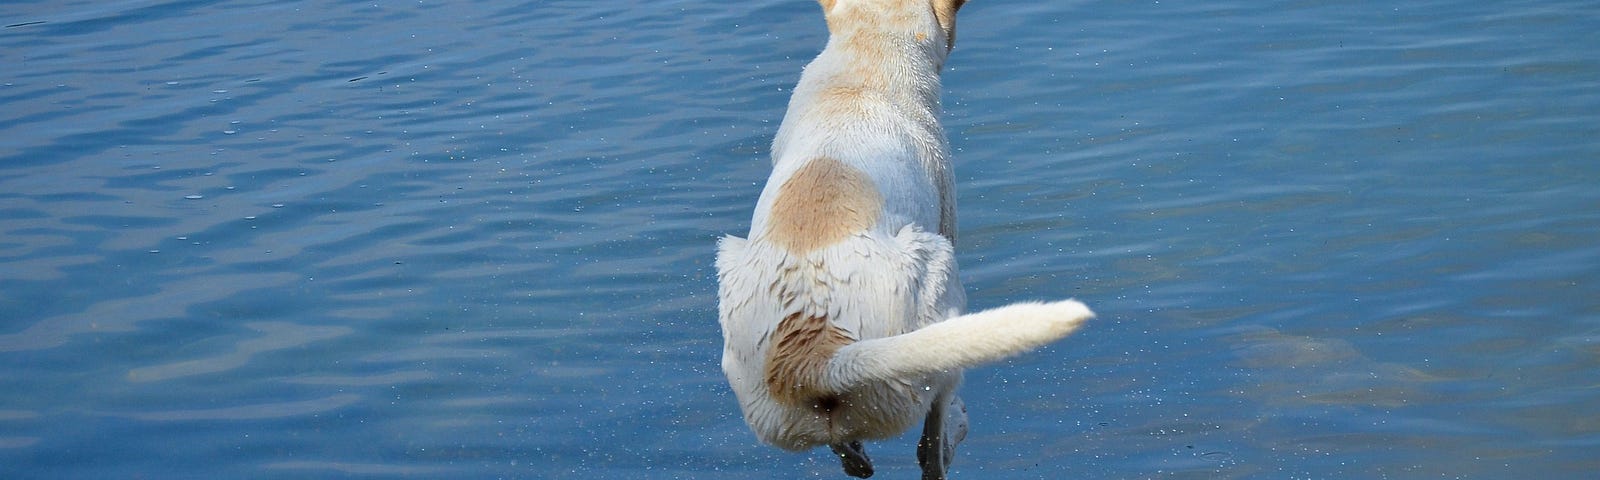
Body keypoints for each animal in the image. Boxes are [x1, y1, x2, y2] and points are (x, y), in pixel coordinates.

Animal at [720, 1, 1094, 476]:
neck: (861, 68)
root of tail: (813, 355)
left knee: (850, 451)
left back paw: (858, 458)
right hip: (938, 267)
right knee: (931, 440)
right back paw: (952, 431)